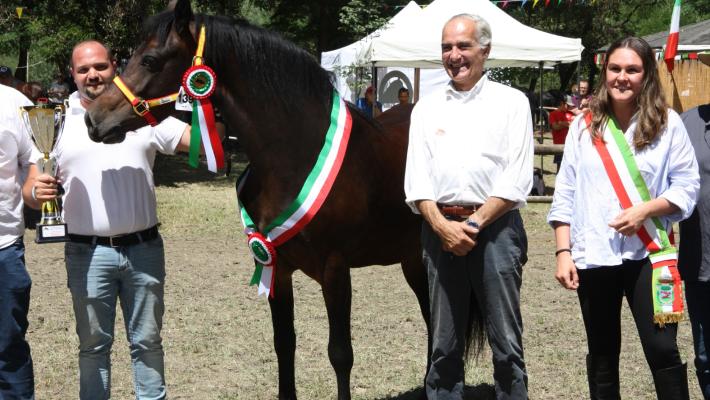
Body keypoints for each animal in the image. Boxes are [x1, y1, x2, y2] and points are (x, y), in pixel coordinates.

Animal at [84, 0, 484, 398]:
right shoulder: (275, 264)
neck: (295, 155)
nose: (93, 119)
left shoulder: (335, 270)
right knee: (432, 319)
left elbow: (341, 353)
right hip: (412, 258)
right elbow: (284, 343)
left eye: (150, 60)